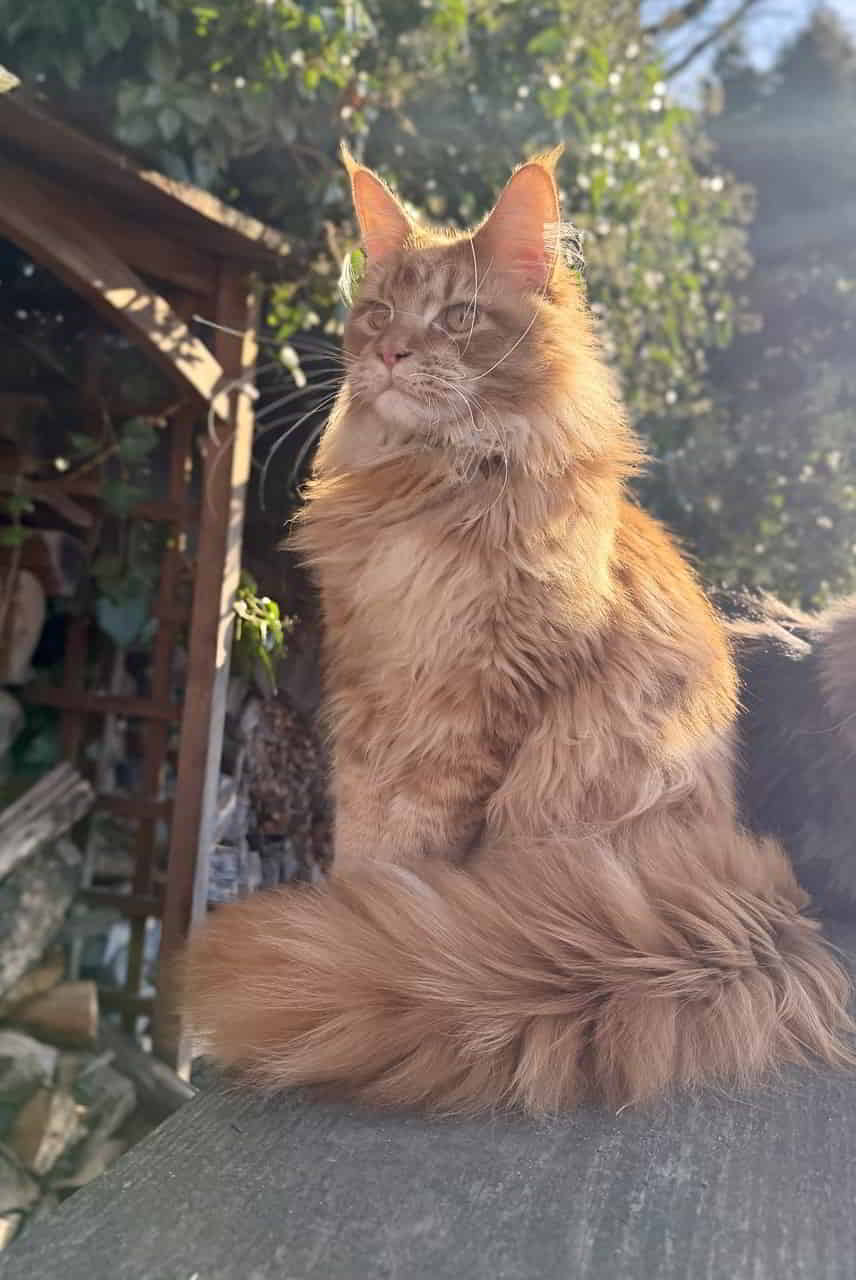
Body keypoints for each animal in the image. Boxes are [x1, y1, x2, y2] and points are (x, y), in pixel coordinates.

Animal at [182, 147, 853, 1113]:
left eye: (457, 317)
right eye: (377, 312)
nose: (390, 352)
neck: (426, 493)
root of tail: (764, 907)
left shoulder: (468, 715)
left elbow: (411, 851)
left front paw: (361, 939)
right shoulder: (369, 697)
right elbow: (366, 842)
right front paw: (349, 919)